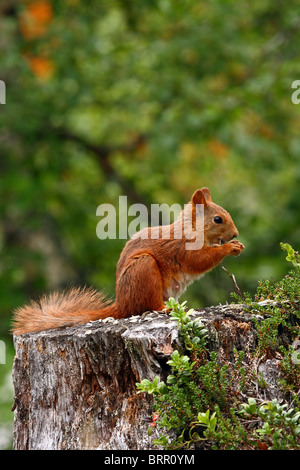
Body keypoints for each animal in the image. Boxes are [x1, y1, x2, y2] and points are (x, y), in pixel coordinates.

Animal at [12, 187, 245, 334]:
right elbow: (200, 260)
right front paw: (230, 247)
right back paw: (164, 309)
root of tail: (122, 304)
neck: (192, 229)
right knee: (148, 305)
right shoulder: (184, 248)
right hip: (144, 268)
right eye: (217, 219)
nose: (235, 234)